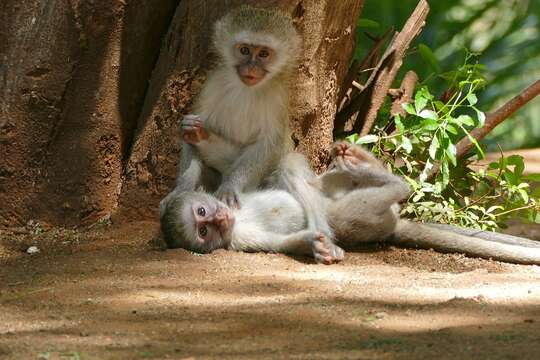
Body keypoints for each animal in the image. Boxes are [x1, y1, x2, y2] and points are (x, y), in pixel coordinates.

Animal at [160, 143, 540, 264]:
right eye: (203, 231)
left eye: (203, 211)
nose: (219, 220)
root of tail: (393, 227)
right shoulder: (238, 241)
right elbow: (281, 243)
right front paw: (315, 246)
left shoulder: (225, 194)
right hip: (358, 216)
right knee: (385, 197)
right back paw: (390, 183)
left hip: (333, 193)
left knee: (296, 171)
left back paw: (358, 161)